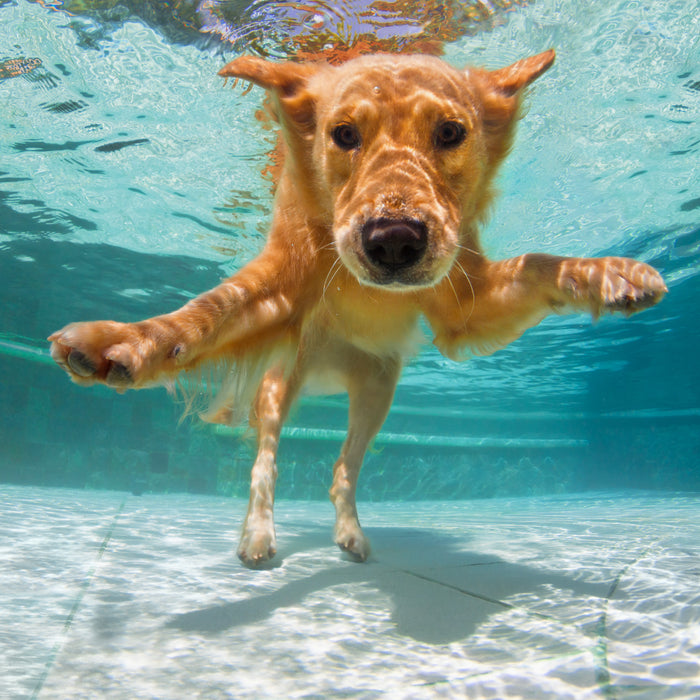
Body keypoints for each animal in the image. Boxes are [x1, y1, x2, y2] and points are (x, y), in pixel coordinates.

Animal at [47, 52, 668, 568]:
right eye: (343, 134)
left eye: (450, 132)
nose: (393, 241)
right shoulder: (277, 287)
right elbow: (204, 314)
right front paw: (123, 341)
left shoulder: (465, 305)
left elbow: (539, 263)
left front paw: (609, 274)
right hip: (281, 381)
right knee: (265, 460)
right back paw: (257, 535)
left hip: (378, 390)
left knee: (342, 470)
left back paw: (350, 533)